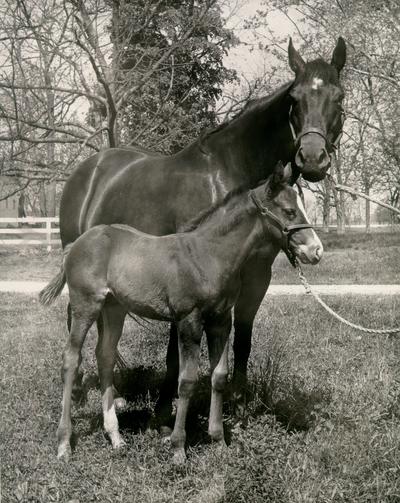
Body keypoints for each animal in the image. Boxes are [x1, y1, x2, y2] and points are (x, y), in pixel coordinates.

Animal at [41, 38, 346, 426]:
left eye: (338, 96)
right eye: (295, 97)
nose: (313, 158)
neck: (231, 170)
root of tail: (90, 168)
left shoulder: (255, 275)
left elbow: (242, 338)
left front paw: (237, 405)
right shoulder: (181, 277)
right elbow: (176, 350)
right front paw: (163, 409)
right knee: (75, 320)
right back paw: (81, 392)